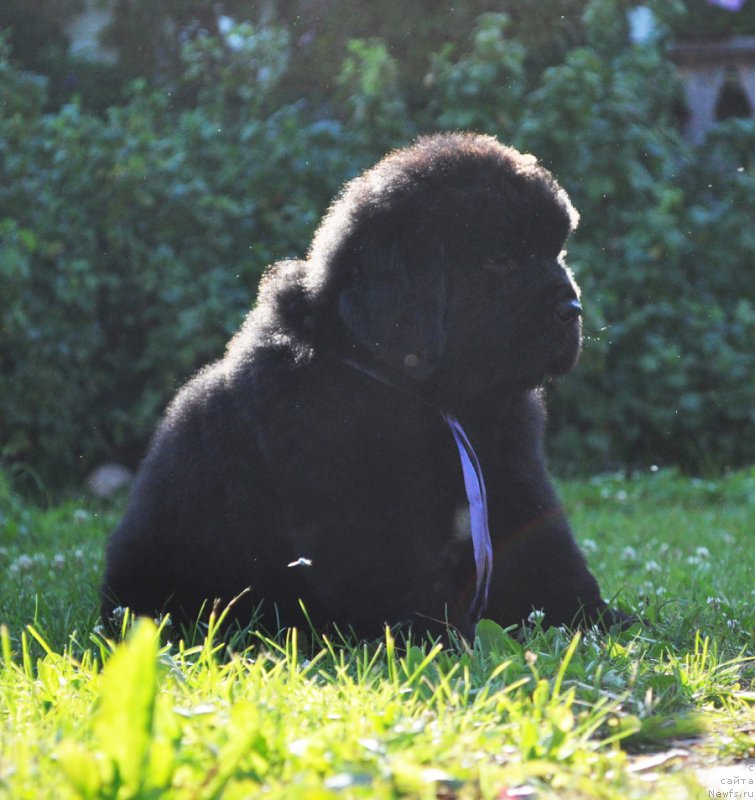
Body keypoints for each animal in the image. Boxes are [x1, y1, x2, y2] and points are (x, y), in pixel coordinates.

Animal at [102, 134, 620, 640]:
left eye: (557, 253)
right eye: (501, 260)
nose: (572, 308)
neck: (436, 400)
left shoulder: (514, 478)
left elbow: (548, 556)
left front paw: (605, 624)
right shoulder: (362, 505)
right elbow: (399, 579)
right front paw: (433, 642)